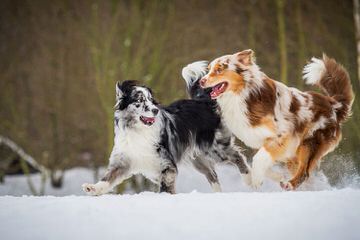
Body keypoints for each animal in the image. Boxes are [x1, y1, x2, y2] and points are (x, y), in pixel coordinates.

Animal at [81, 62, 250, 195]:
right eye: (139, 100)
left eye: (151, 100)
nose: (155, 110)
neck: (138, 131)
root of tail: (203, 102)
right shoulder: (123, 161)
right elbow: (107, 178)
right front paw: (93, 188)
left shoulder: (167, 165)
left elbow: (166, 186)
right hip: (198, 159)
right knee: (212, 175)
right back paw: (218, 194)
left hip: (214, 148)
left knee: (237, 156)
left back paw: (249, 179)